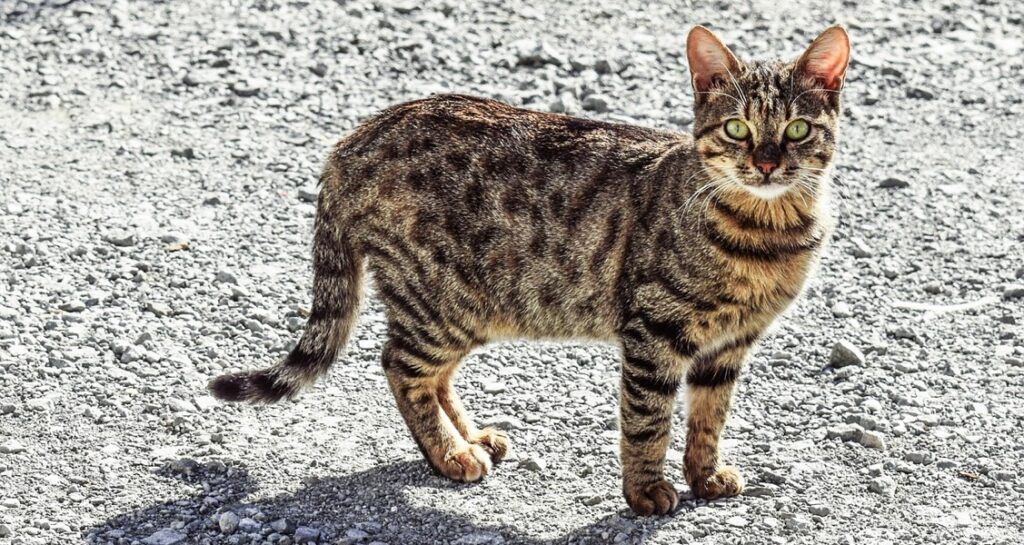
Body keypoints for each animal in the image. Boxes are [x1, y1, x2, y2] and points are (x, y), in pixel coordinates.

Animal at [207, 25, 847, 516]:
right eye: (737, 128)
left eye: (796, 130)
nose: (766, 163)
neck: (767, 233)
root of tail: (354, 138)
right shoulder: (653, 332)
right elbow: (647, 422)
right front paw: (646, 491)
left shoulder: (730, 345)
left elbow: (709, 418)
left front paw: (705, 474)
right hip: (441, 300)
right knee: (399, 366)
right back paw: (450, 454)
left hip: (469, 306)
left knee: (433, 375)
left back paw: (471, 437)